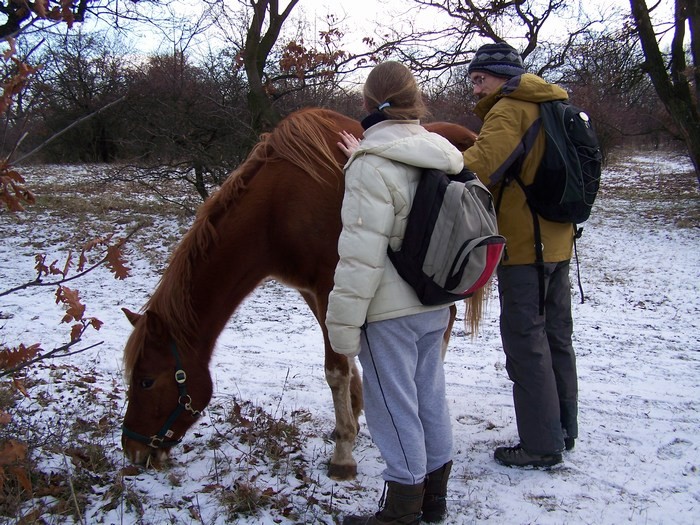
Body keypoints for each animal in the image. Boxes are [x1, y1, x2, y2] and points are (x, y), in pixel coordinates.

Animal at [121, 107, 482, 478]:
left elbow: (335, 370)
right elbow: (345, 359)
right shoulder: (316, 292)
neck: (279, 205)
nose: (133, 450)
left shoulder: (331, 285)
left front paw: (343, 455)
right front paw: (353, 418)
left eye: (146, 381)